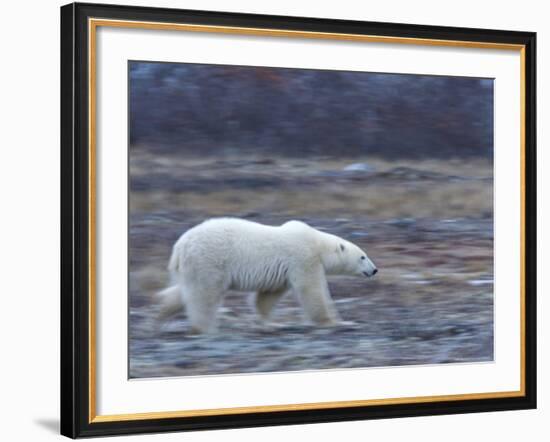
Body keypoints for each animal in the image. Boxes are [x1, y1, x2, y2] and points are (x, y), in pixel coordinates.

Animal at [157, 216, 378, 334]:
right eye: (363, 256)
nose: (374, 269)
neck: (317, 244)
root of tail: (180, 246)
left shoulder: (282, 272)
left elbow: (268, 295)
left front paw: (271, 322)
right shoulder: (303, 258)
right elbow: (312, 291)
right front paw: (337, 322)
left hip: (193, 266)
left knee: (185, 291)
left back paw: (161, 313)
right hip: (209, 260)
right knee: (205, 294)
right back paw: (205, 327)